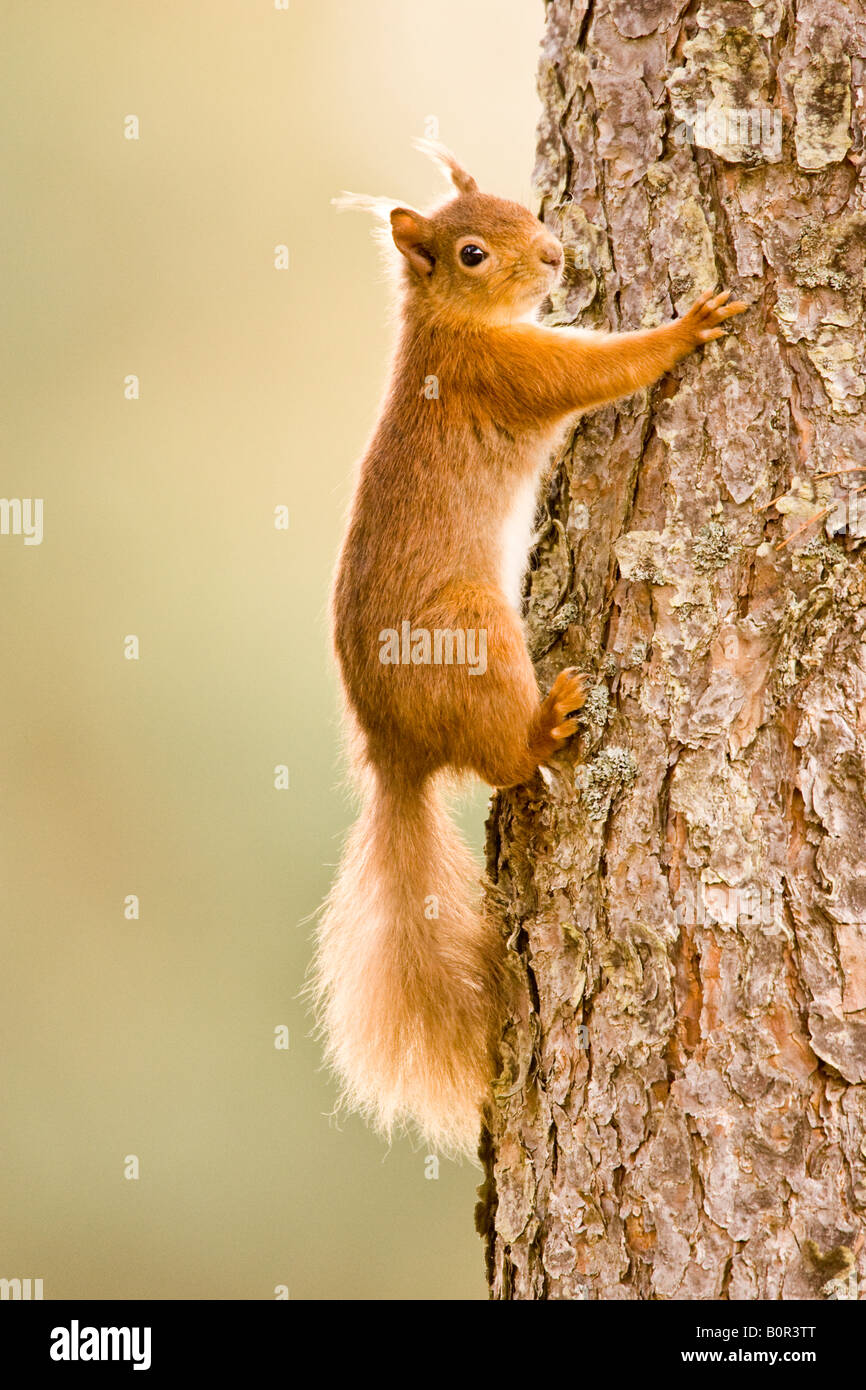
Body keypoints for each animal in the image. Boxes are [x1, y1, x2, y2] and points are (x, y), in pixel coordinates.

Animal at [311, 146, 745, 1156]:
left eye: (526, 206)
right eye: (472, 251)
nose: (554, 254)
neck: (450, 325)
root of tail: (392, 751)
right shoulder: (509, 373)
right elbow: (598, 371)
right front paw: (687, 325)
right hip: (472, 631)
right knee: (506, 760)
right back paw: (550, 722)